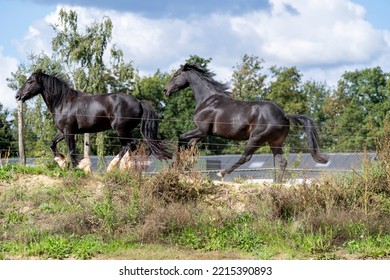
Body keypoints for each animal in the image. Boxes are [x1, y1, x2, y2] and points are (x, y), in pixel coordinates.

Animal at [16, 70, 172, 171]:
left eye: (30, 81)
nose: (18, 96)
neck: (63, 102)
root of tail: (139, 102)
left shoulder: (69, 131)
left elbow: (71, 151)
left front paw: (78, 167)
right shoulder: (63, 131)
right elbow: (52, 144)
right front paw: (62, 162)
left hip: (120, 129)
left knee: (130, 145)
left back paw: (114, 167)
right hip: (123, 131)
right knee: (129, 146)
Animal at [163, 63, 328, 183]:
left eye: (176, 74)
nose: (165, 90)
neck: (208, 100)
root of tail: (284, 115)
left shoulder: (201, 130)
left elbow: (181, 138)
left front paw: (175, 166)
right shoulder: (203, 133)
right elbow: (191, 146)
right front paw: (183, 167)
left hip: (256, 138)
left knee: (246, 157)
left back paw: (222, 173)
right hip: (275, 142)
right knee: (281, 162)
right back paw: (277, 184)